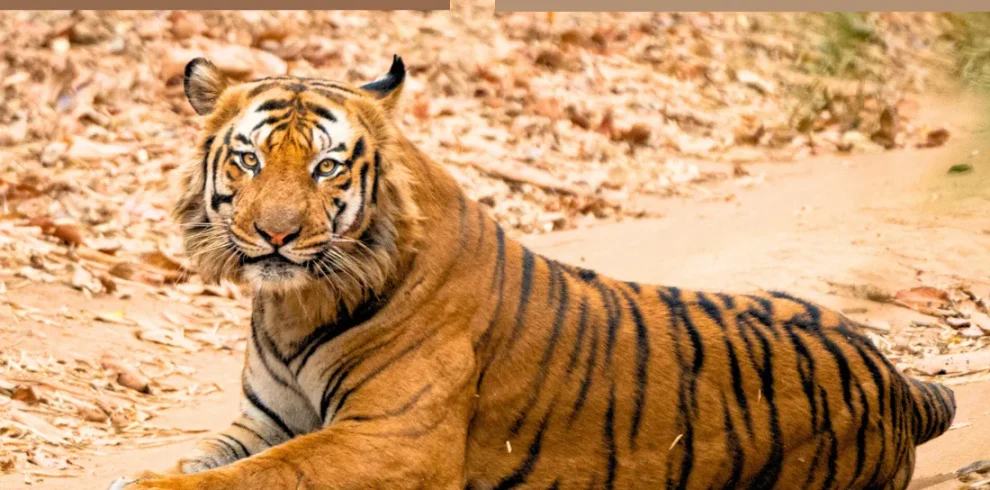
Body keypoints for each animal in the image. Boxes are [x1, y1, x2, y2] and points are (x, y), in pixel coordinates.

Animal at [109, 54, 956, 490]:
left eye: (325, 168)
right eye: (249, 160)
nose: (275, 235)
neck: (293, 306)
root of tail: (894, 381)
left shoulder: (392, 439)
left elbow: (261, 476)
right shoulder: (265, 420)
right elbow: (216, 458)